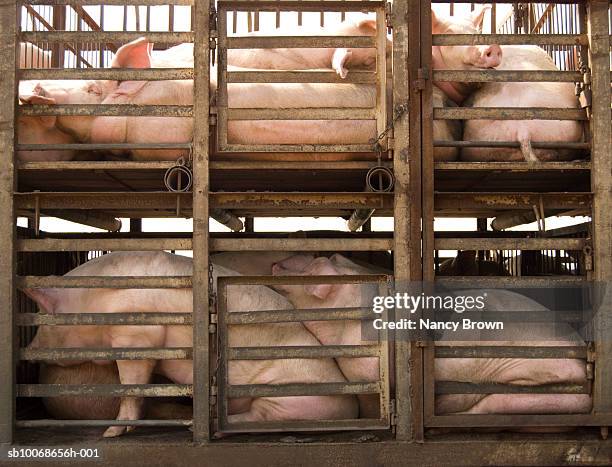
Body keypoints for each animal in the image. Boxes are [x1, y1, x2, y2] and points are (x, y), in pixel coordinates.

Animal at [23, 252, 358, 438]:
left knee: (258, 419)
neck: (92, 301)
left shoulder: (136, 334)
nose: (28, 353)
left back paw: (205, 428)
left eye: (42, 320)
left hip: (293, 398)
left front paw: (110, 434)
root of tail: (350, 409)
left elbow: (131, 386)